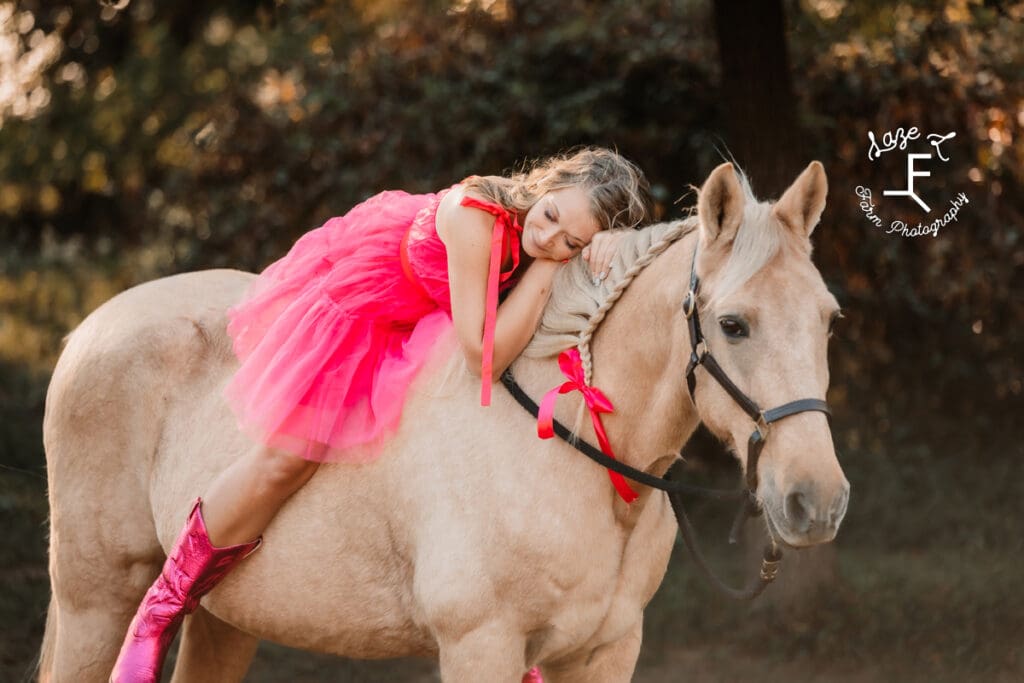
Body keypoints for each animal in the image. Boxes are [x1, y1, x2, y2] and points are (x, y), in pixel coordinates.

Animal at [37, 162, 847, 679]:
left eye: (828, 319)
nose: (817, 501)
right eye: (734, 325)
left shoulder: (606, 650)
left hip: (227, 618)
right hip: (94, 604)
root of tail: (89, 329)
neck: (571, 451)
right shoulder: (479, 644)